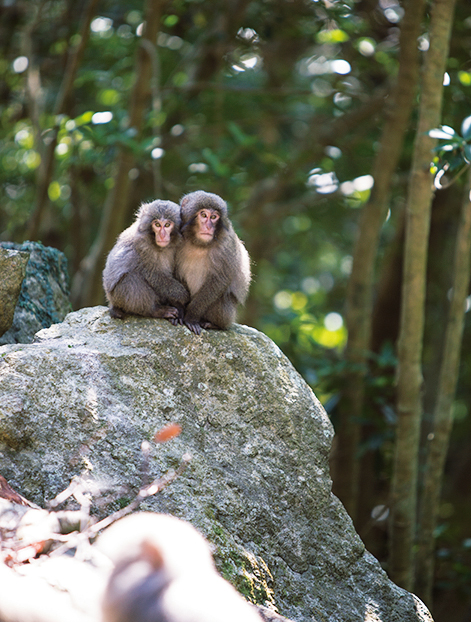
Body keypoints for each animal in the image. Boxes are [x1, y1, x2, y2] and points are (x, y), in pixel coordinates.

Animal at [175, 190, 253, 336]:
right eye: (203, 215)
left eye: (214, 217)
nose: (208, 226)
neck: (198, 244)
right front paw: (180, 310)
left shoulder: (226, 244)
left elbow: (219, 280)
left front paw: (191, 317)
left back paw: (214, 324)